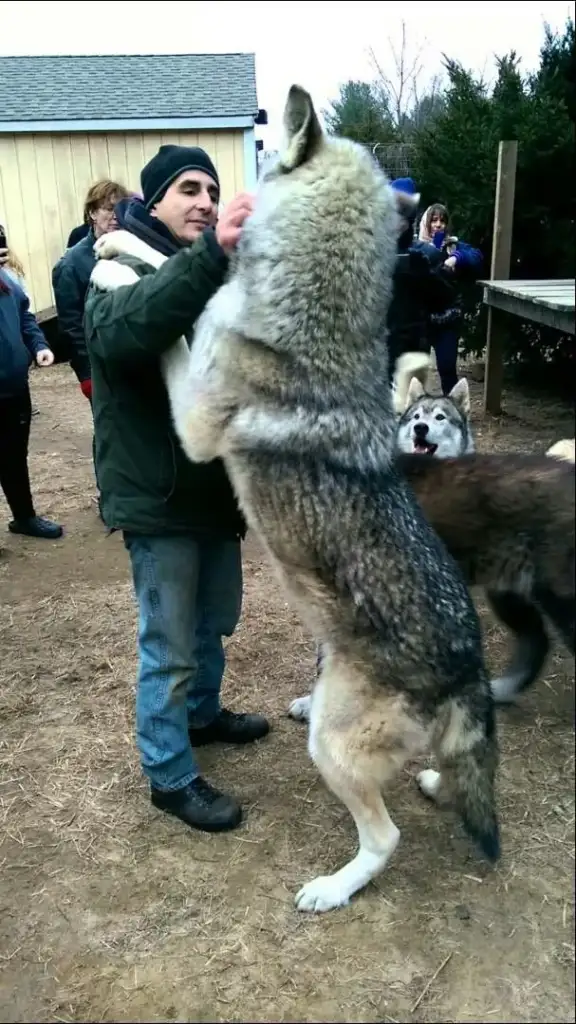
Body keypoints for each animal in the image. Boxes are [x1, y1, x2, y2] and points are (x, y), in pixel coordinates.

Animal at [90, 81, 498, 913]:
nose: (225, 200)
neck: (310, 312)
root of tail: (469, 668)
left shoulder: (195, 420)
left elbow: (177, 328)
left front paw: (112, 274)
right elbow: (170, 275)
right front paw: (119, 252)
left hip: (330, 746)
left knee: (385, 838)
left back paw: (332, 889)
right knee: (431, 777)